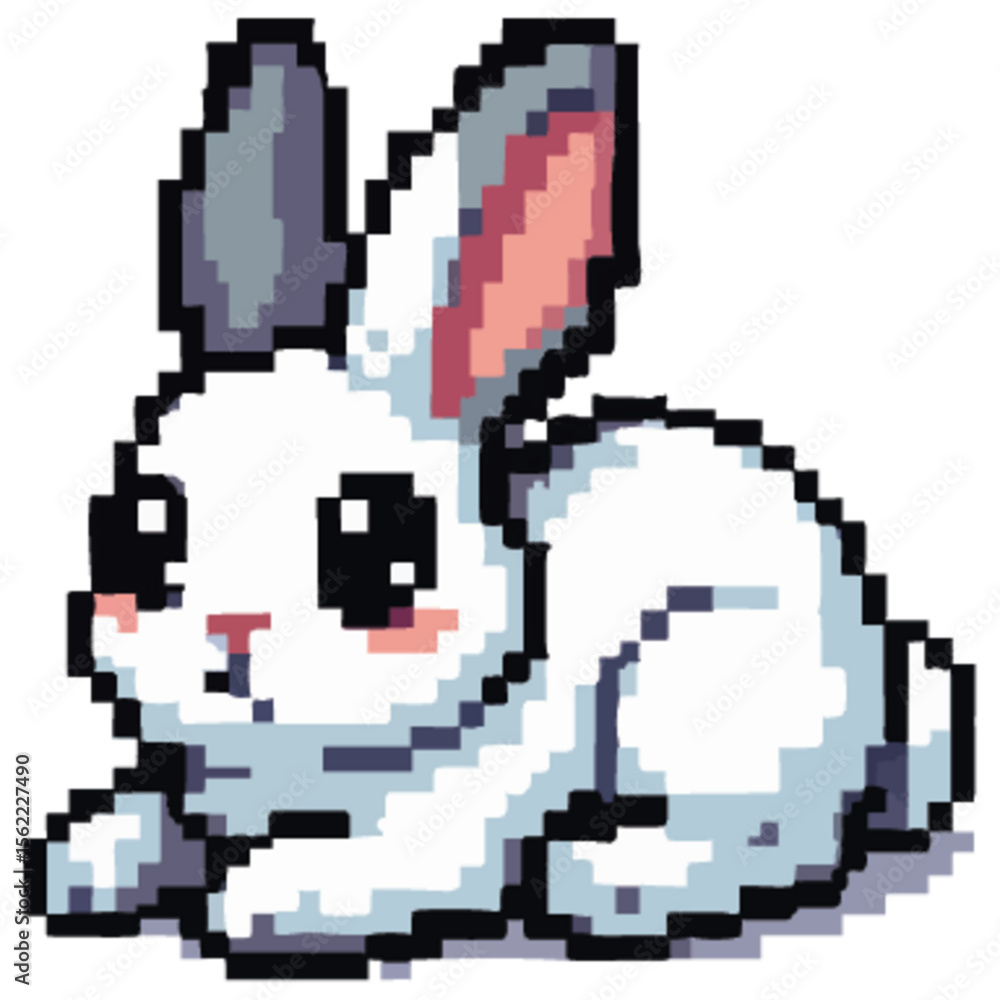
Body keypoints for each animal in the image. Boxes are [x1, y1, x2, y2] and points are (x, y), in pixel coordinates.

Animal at [27, 16, 974, 979]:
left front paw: (257, 898)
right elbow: (157, 823)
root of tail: (886, 687)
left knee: (778, 840)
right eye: (140, 529)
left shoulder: (458, 823)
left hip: (698, 697)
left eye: (378, 548)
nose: (232, 633)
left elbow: (385, 862)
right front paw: (80, 859)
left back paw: (604, 882)